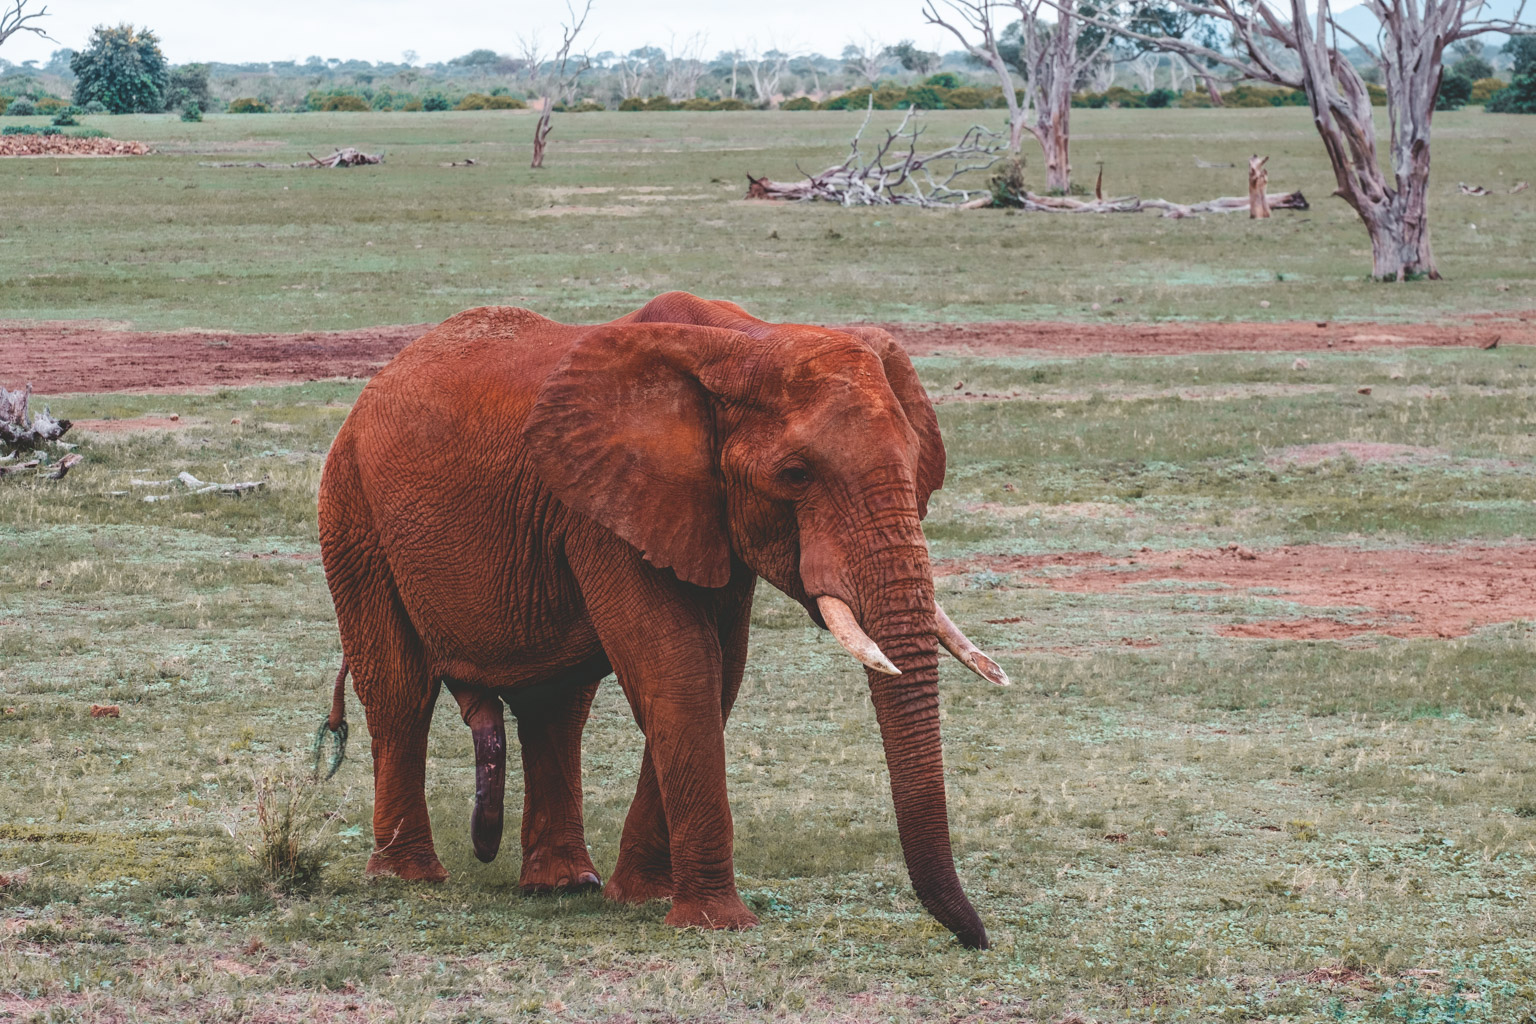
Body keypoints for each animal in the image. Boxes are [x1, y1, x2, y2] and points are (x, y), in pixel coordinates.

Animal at [314, 291, 1009, 948]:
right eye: (795, 474)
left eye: (915, 462)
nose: (974, 939)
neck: (745, 341)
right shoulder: (605, 508)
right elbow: (678, 669)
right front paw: (716, 925)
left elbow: (716, 675)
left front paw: (642, 899)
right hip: (352, 511)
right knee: (400, 691)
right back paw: (410, 878)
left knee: (556, 706)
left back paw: (563, 885)